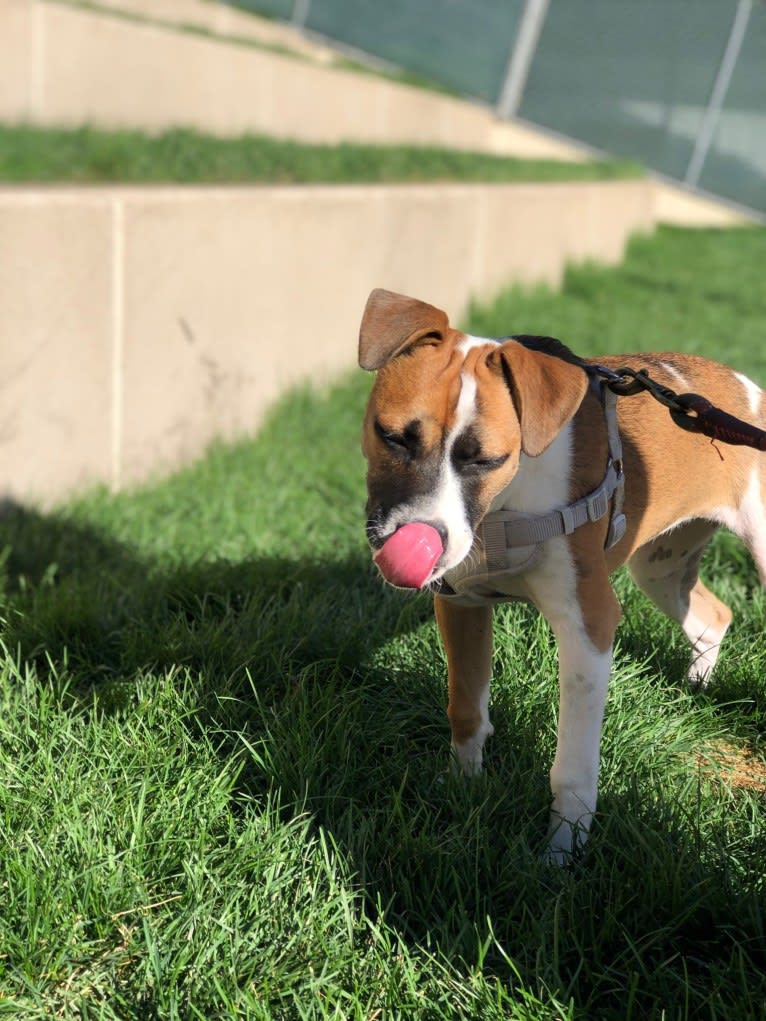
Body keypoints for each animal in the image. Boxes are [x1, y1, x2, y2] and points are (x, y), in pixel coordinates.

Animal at [359, 287, 766, 861]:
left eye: (487, 460)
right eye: (392, 436)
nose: (419, 540)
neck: (508, 504)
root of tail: (746, 389)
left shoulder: (588, 626)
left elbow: (571, 768)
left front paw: (560, 854)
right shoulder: (461, 604)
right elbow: (466, 708)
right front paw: (463, 787)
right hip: (660, 565)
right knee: (713, 614)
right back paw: (696, 687)